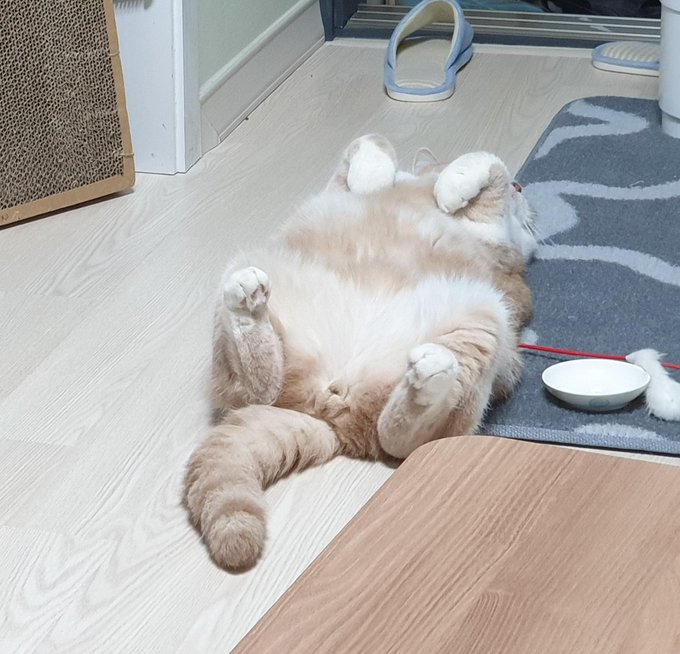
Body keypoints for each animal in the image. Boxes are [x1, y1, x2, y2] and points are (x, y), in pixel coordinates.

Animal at [184, 135, 537, 570]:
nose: (522, 187)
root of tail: (329, 414)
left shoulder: (498, 241)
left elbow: (489, 163)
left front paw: (451, 188)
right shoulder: (337, 184)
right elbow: (370, 141)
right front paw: (376, 177)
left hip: (483, 317)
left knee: (405, 438)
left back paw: (431, 376)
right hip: (254, 271)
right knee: (255, 388)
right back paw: (247, 308)